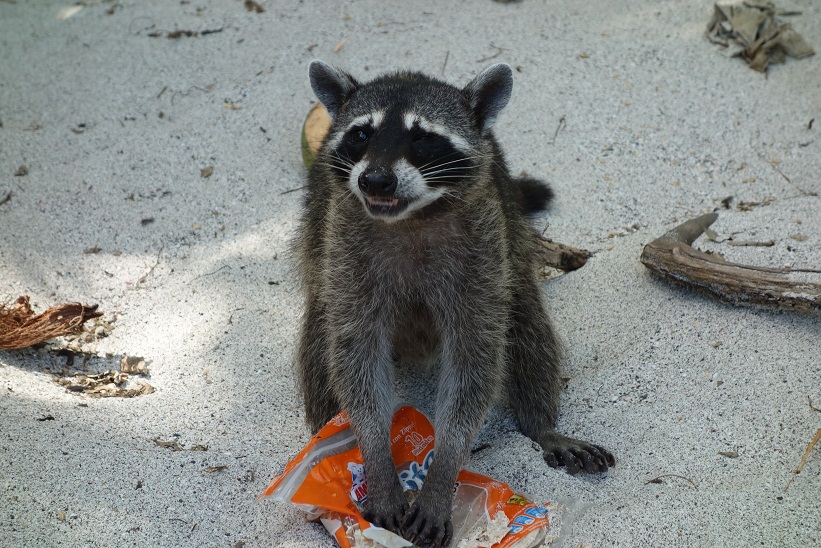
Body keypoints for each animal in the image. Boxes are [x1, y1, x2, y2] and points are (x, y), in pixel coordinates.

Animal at [294, 62, 616, 544]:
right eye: (361, 134)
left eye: (422, 137)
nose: (375, 179)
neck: (409, 218)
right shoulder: (346, 249)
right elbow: (357, 358)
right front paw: (373, 453)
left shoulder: (480, 248)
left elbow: (474, 362)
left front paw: (443, 469)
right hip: (325, 259)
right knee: (321, 330)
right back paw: (328, 438)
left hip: (505, 253)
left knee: (524, 317)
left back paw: (541, 426)